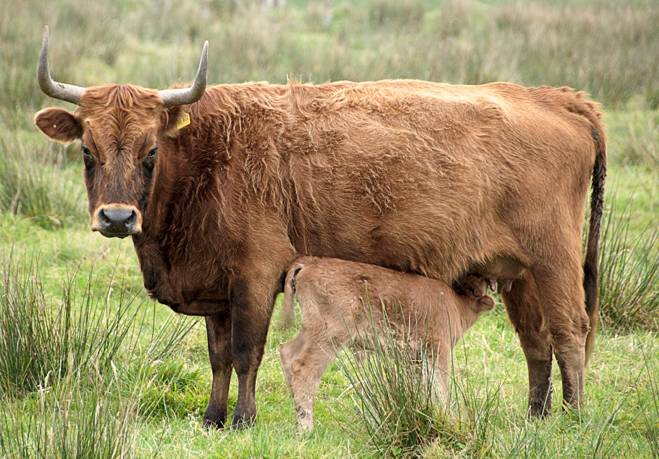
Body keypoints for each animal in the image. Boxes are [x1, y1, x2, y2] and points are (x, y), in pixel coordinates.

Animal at [278, 256, 496, 434]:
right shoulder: (439, 349)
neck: (457, 301)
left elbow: (421, 387)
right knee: (304, 369)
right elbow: (441, 387)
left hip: (311, 331)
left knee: (287, 351)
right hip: (330, 337)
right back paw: (306, 429)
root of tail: (309, 263)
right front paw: (449, 419)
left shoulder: (416, 358)